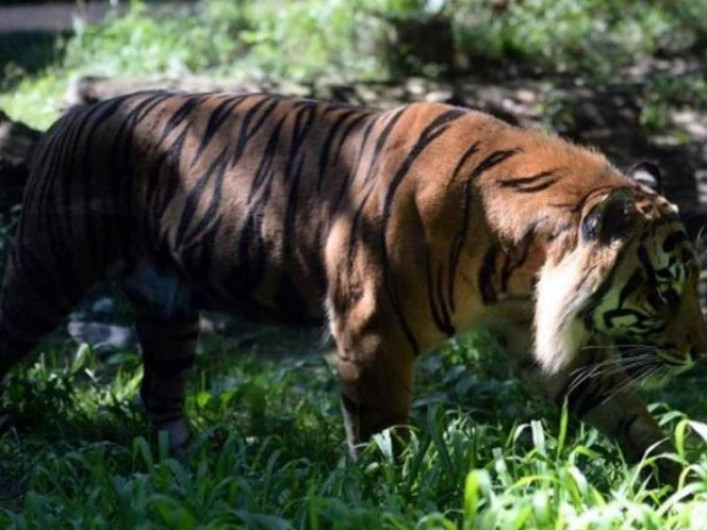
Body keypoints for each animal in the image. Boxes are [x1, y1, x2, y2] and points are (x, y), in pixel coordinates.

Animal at [0, 91, 705, 485]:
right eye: (665, 288)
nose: (699, 352)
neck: (521, 260)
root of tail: (63, 122)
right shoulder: (374, 334)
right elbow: (383, 434)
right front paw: (394, 498)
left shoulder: (540, 336)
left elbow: (627, 415)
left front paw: (679, 482)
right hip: (46, 271)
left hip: (169, 310)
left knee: (159, 393)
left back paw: (184, 465)